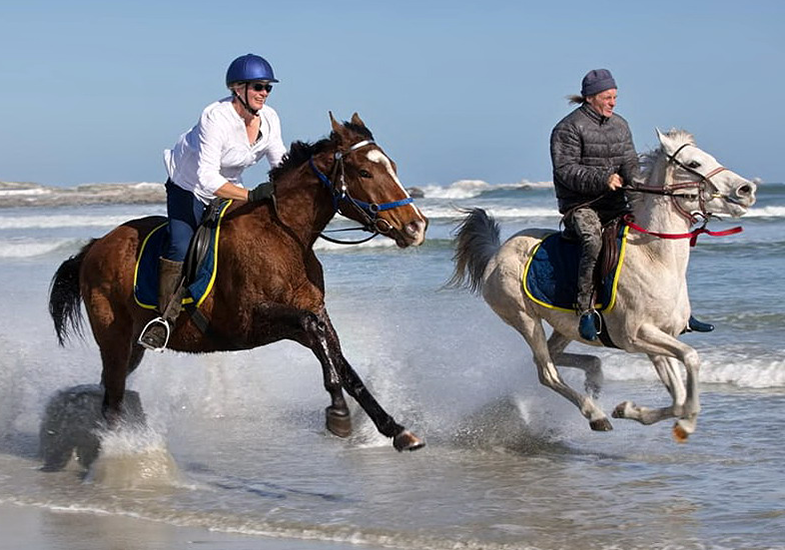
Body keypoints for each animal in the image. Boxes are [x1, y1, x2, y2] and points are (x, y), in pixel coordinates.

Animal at [48, 113, 427, 452]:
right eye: (365, 171)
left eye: (392, 165)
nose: (416, 227)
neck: (285, 235)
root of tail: (95, 245)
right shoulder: (251, 320)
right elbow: (318, 339)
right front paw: (338, 413)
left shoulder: (313, 314)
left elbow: (342, 362)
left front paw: (397, 430)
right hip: (113, 336)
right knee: (111, 398)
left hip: (132, 346)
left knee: (110, 390)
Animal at [449, 129, 756, 441]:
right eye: (693, 163)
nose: (747, 189)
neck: (654, 257)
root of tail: (496, 252)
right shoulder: (637, 335)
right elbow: (691, 359)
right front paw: (686, 424)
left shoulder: (659, 338)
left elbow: (679, 397)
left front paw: (631, 410)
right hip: (525, 319)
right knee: (546, 372)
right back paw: (595, 414)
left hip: (564, 325)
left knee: (551, 357)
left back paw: (594, 378)